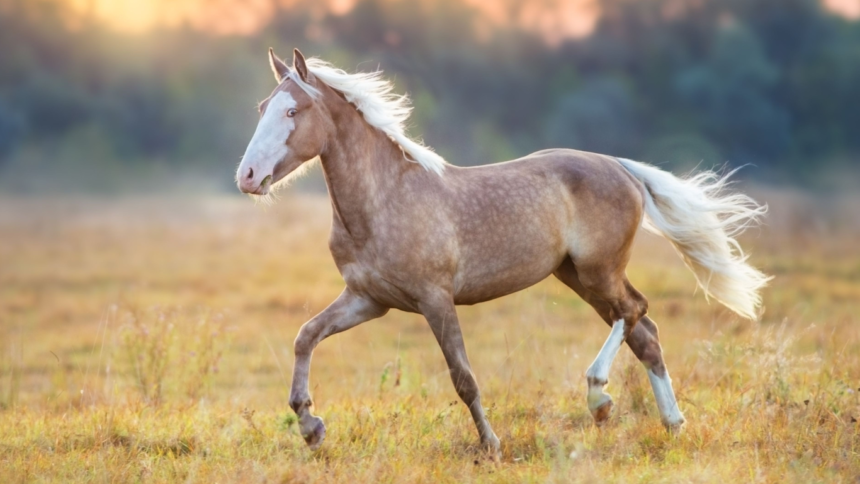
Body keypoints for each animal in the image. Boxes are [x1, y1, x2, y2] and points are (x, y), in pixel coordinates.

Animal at [235, 48, 771, 454]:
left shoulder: (435, 299)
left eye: (293, 112)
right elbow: (305, 336)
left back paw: (599, 397)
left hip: (598, 271)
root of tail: (620, 167)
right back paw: (671, 424)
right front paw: (311, 427)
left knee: (634, 311)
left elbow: (463, 376)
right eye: (261, 107)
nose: (247, 177)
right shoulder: (369, 300)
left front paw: (491, 445)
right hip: (576, 277)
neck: (383, 199)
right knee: (647, 334)